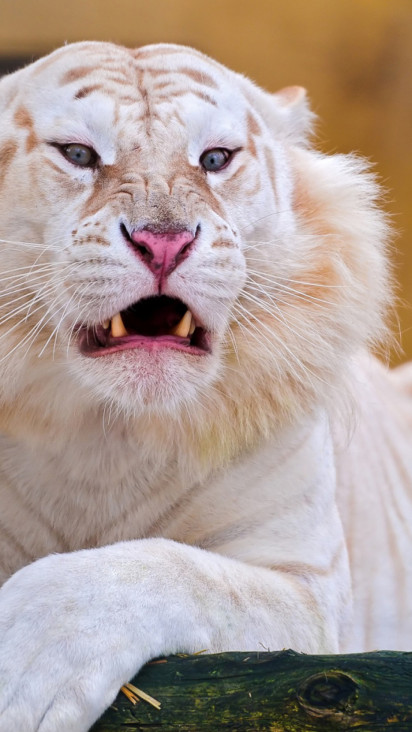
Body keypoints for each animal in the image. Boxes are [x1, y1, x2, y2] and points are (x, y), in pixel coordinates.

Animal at [0, 41, 410, 732]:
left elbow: (172, 569)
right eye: (78, 153)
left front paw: (23, 665)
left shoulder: (311, 594)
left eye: (215, 159)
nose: (163, 242)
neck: (104, 434)